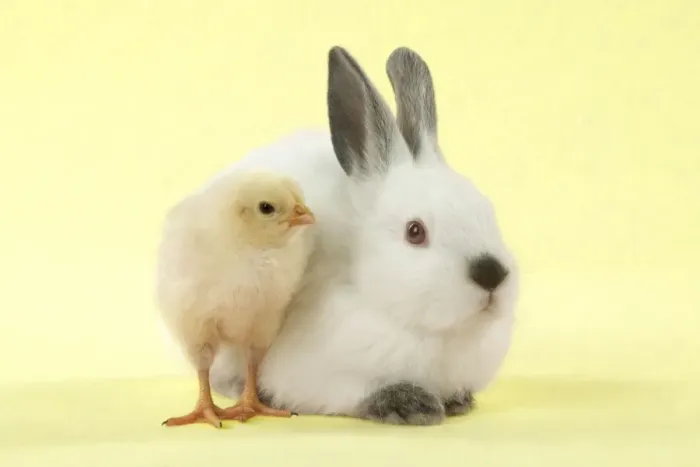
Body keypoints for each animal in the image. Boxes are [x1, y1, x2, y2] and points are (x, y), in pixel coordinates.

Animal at [208, 46, 520, 425]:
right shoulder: (321, 377)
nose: (492, 274)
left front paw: (459, 401)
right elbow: (357, 393)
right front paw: (412, 405)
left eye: (488, 211)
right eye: (415, 232)